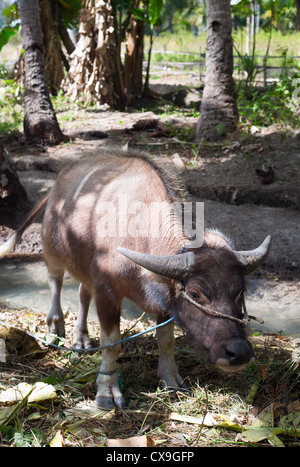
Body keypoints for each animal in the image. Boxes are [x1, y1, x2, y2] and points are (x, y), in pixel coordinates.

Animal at [0, 150, 270, 410]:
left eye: (240, 291)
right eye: (195, 293)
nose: (239, 352)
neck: (138, 231)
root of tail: (58, 181)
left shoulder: (164, 302)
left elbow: (166, 340)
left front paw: (170, 380)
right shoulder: (107, 291)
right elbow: (112, 343)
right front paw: (107, 391)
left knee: (82, 294)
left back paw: (81, 338)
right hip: (52, 249)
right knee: (55, 283)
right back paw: (56, 327)